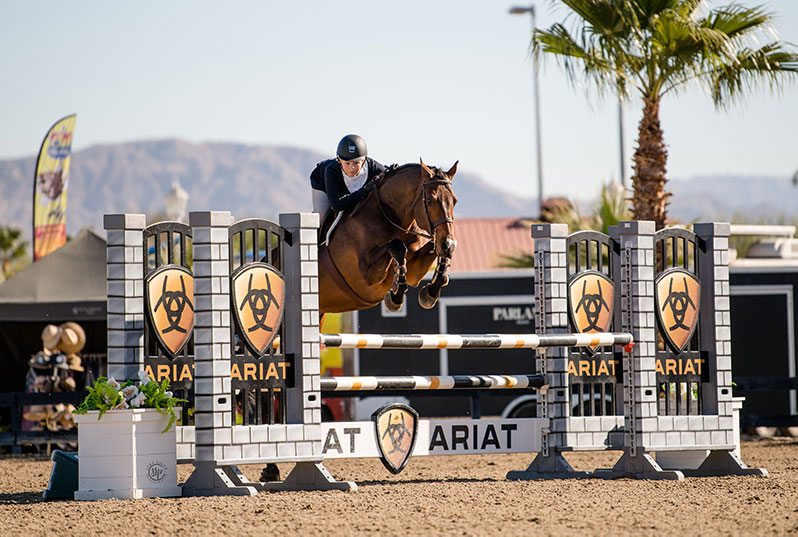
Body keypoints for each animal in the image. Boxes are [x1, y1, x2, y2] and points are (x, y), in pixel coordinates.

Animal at [318, 157, 460, 314]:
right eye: (429, 201)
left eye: (454, 201)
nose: (449, 245)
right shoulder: (367, 275)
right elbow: (398, 246)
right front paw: (396, 297)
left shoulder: (415, 272)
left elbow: (433, 250)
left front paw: (431, 292)